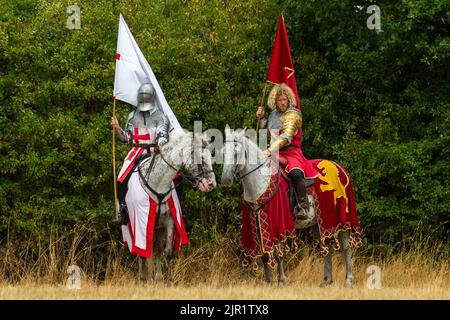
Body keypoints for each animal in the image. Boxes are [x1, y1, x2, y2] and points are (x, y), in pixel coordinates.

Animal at [126, 131, 216, 284]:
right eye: (202, 158)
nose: (211, 184)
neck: (158, 184)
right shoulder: (141, 223)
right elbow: (142, 252)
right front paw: (142, 280)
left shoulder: (169, 221)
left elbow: (167, 252)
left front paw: (169, 281)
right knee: (139, 251)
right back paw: (142, 278)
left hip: (157, 229)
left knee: (157, 249)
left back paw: (158, 279)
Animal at [221, 127, 362, 288]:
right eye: (223, 153)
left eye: (236, 153)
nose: (225, 180)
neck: (260, 182)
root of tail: (341, 169)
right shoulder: (257, 227)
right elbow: (264, 256)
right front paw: (268, 283)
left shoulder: (278, 226)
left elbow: (278, 254)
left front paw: (281, 281)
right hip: (319, 223)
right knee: (326, 247)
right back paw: (326, 280)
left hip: (340, 219)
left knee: (345, 247)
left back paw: (348, 280)